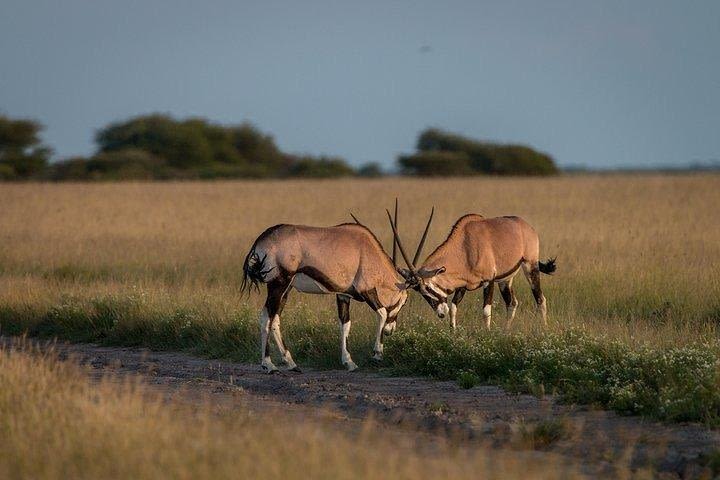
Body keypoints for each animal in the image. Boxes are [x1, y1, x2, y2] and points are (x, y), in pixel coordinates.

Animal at [240, 209, 428, 372]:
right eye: (403, 302)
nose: (390, 331)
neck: (369, 252)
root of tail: (262, 239)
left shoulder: (343, 294)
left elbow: (345, 324)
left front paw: (349, 362)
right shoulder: (367, 290)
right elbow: (381, 313)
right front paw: (377, 354)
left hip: (286, 288)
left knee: (275, 319)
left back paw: (291, 363)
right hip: (278, 284)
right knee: (266, 317)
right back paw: (269, 365)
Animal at [388, 214, 556, 330]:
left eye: (428, 288)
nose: (440, 313)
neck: (465, 246)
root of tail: (526, 226)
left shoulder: (489, 281)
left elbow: (486, 311)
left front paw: (487, 334)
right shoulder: (462, 285)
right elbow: (454, 308)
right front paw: (453, 332)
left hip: (530, 267)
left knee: (541, 299)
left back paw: (544, 329)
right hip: (505, 280)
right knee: (512, 303)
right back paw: (505, 332)